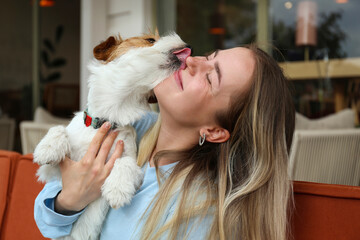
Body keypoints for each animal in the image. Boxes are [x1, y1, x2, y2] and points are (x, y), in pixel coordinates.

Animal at [33, 31, 191, 238]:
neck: (109, 118)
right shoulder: (53, 172)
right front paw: (47, 148)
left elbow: (125, 162)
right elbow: (58, 129)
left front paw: (117, 189)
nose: (188, 45)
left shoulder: (133, 164)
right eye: (150, 40)